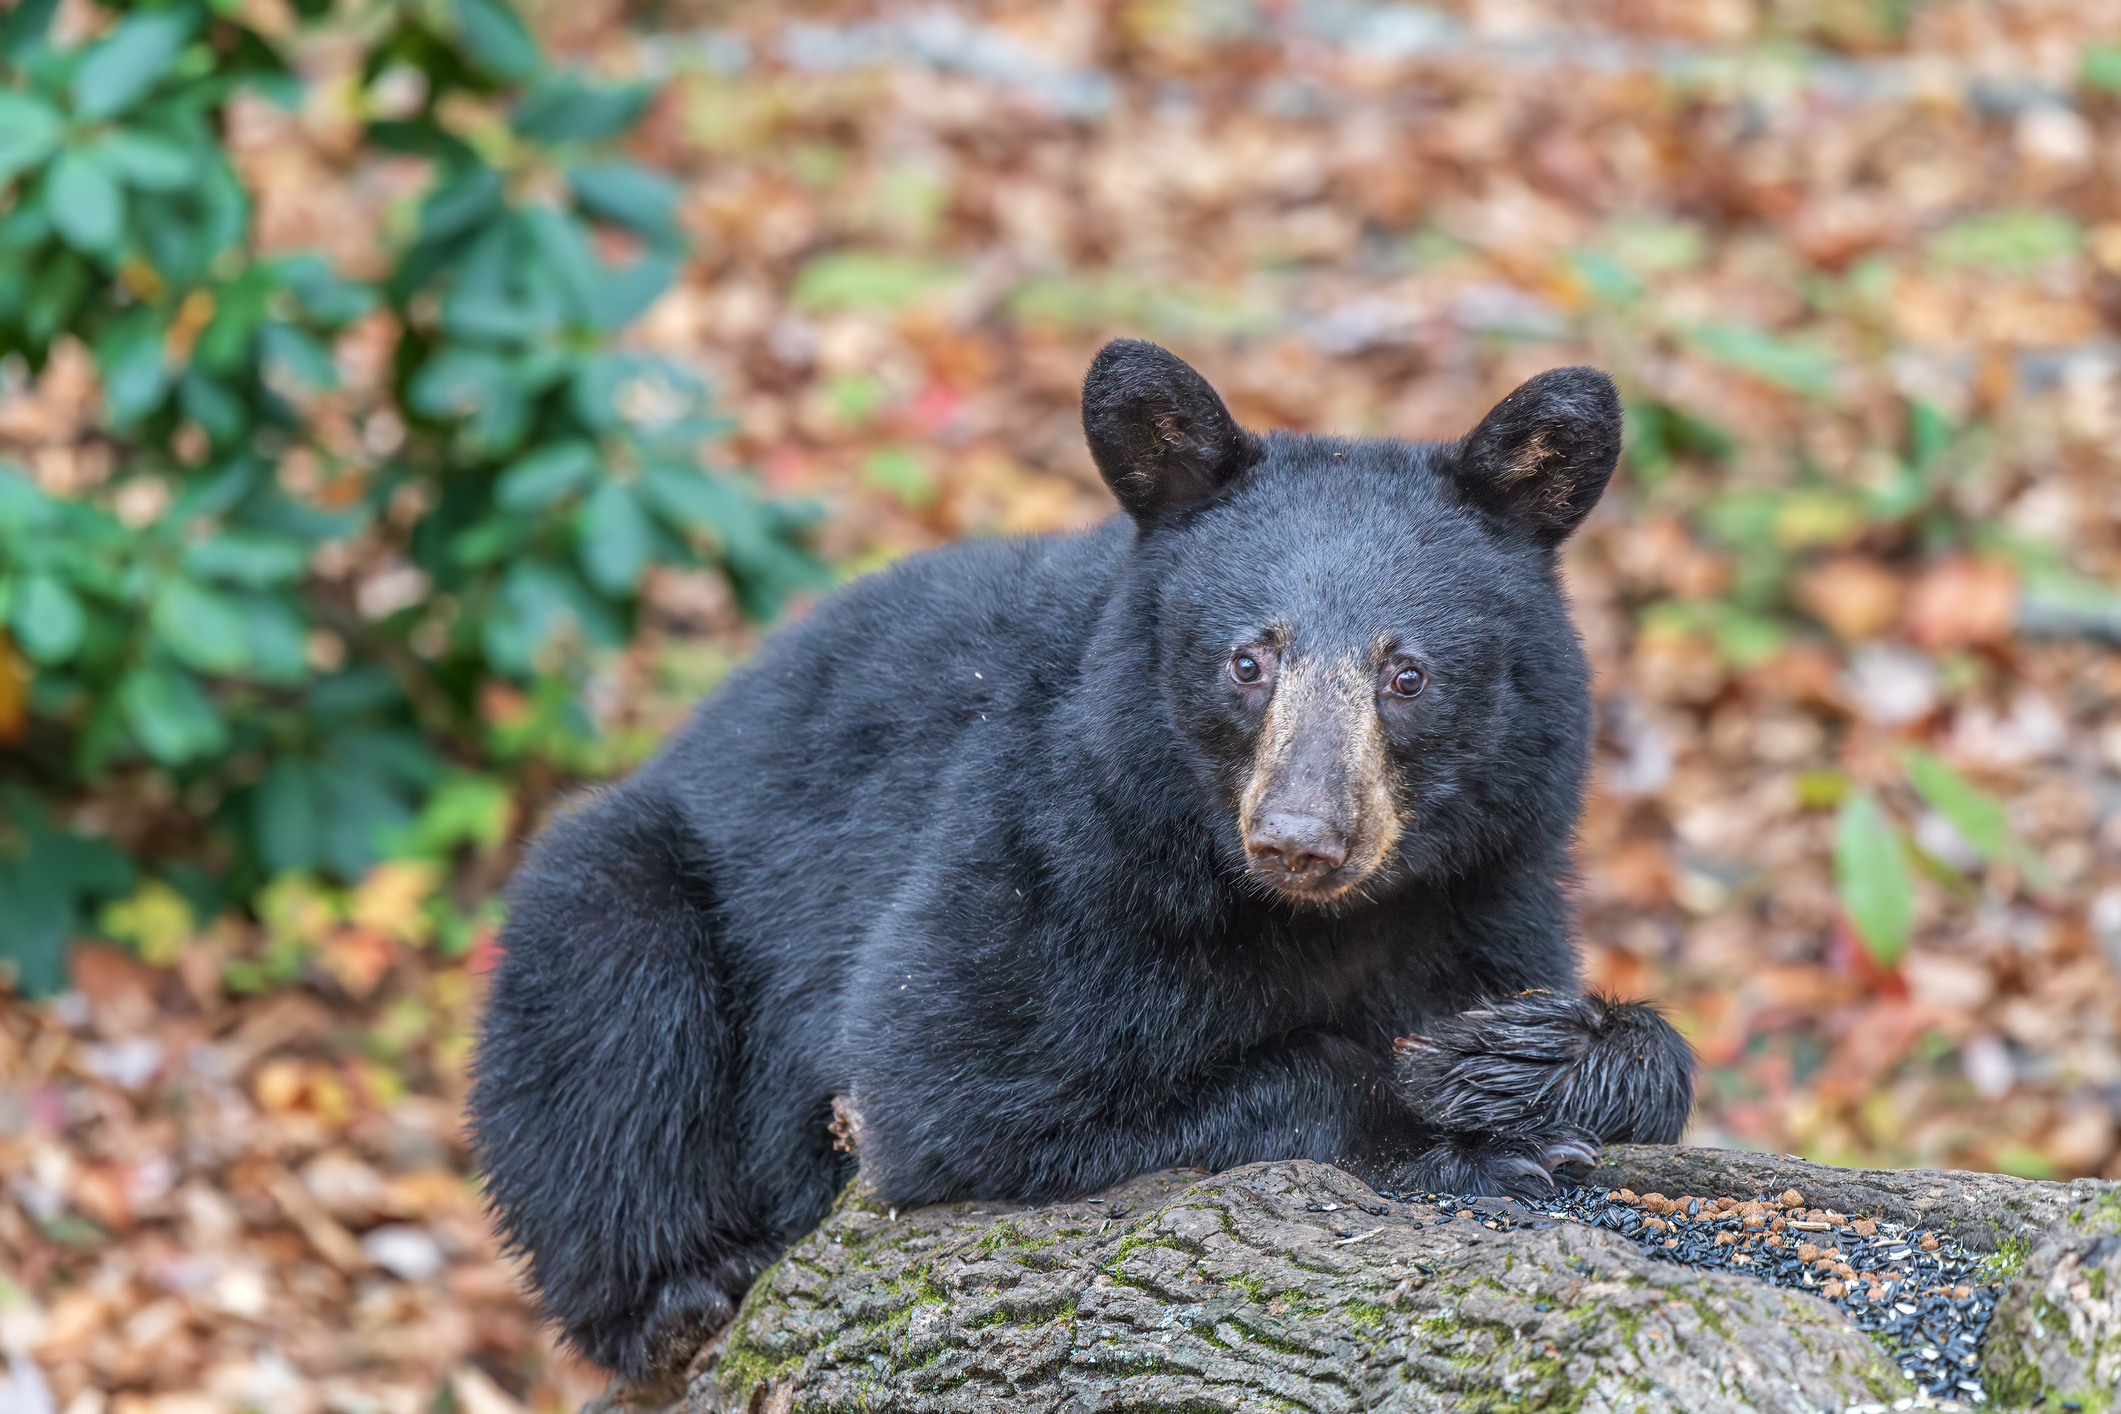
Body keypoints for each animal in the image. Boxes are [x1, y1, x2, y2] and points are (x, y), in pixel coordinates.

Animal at [469, 339, 1697, 1387]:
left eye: (1408, 674)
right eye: (1248, 659)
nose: (1300, 838)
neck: (1315, 916)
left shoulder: (1487, 888)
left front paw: (1519, 1056)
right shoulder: (1050, 848)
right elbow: (952, 1071)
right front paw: (1455, 1139)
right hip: (631, 885)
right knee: (606, 1018)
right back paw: (677, 1291)